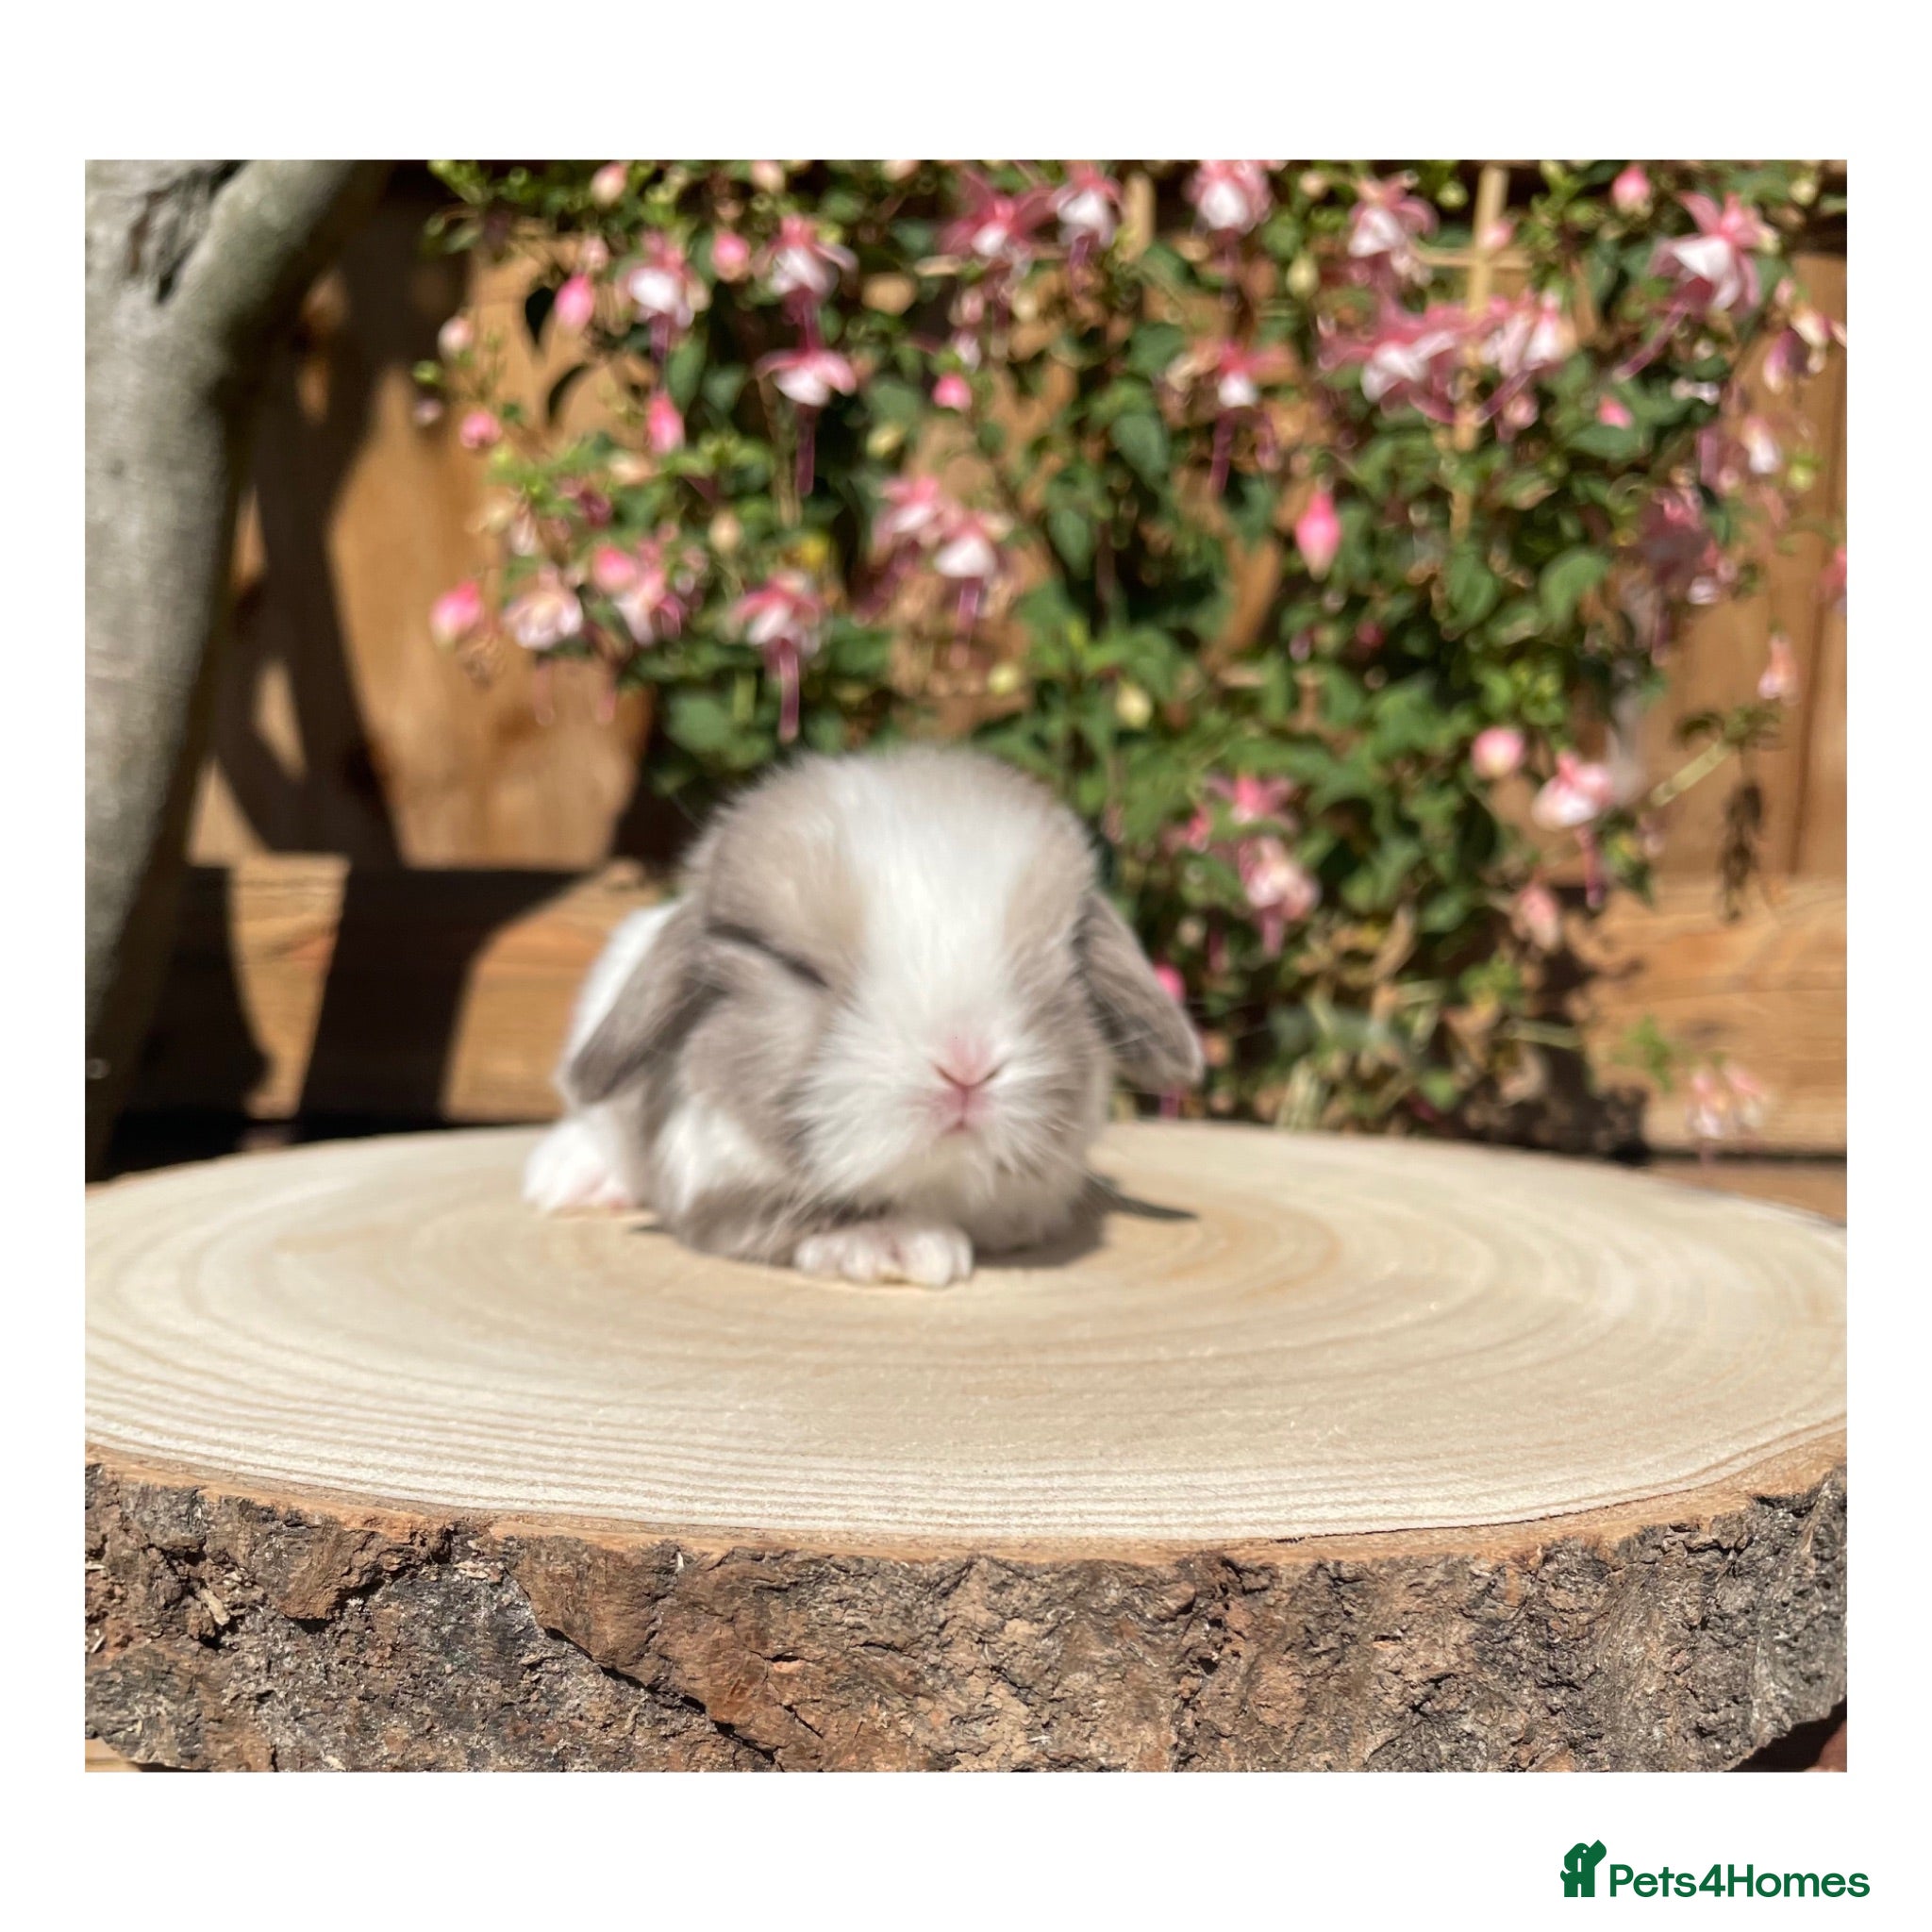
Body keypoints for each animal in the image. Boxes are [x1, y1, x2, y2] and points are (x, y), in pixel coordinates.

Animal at [522, 745, 1201, 1286]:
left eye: (1062, 964)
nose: (966, 1066)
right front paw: (900, 1247)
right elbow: (794, 1211)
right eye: (799, 969)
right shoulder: (709, 1183)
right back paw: (567, 1180)